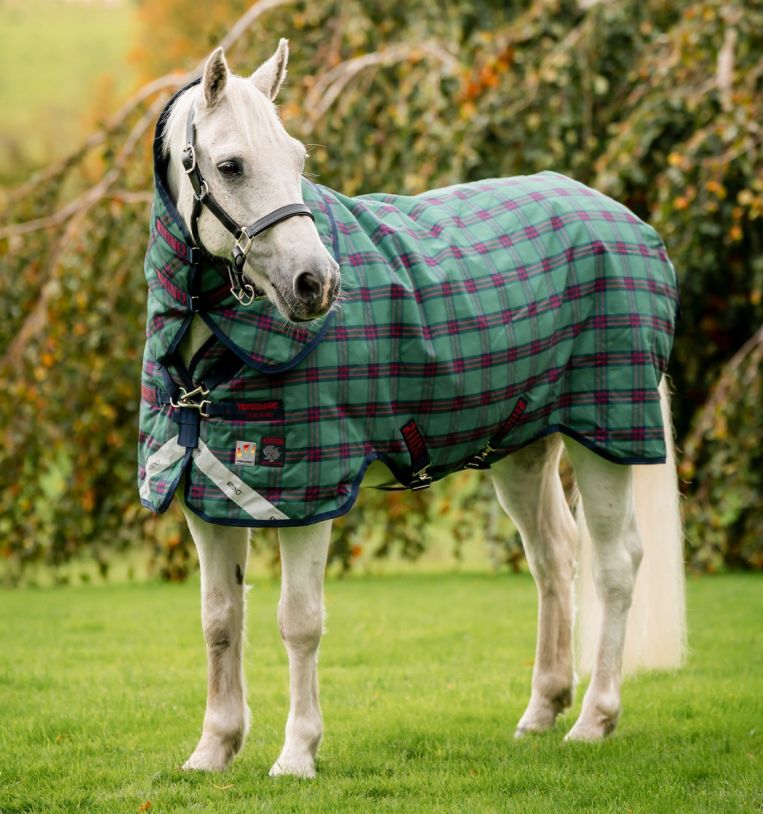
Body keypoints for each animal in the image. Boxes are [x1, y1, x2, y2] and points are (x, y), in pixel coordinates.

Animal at [141, 42, 686, 778]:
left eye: (297, 158)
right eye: (230, 166)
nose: (317, 284)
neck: (211, 358)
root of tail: (627, 222)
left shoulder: (307, 496)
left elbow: (298, 620)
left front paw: (297, 754)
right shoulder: (208, 489)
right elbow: (220, 621)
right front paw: (213, 749)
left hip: (603, 437)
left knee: (615, 563)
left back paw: (594, 720)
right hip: (522, 449)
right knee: (553, 557)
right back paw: (543, 710)